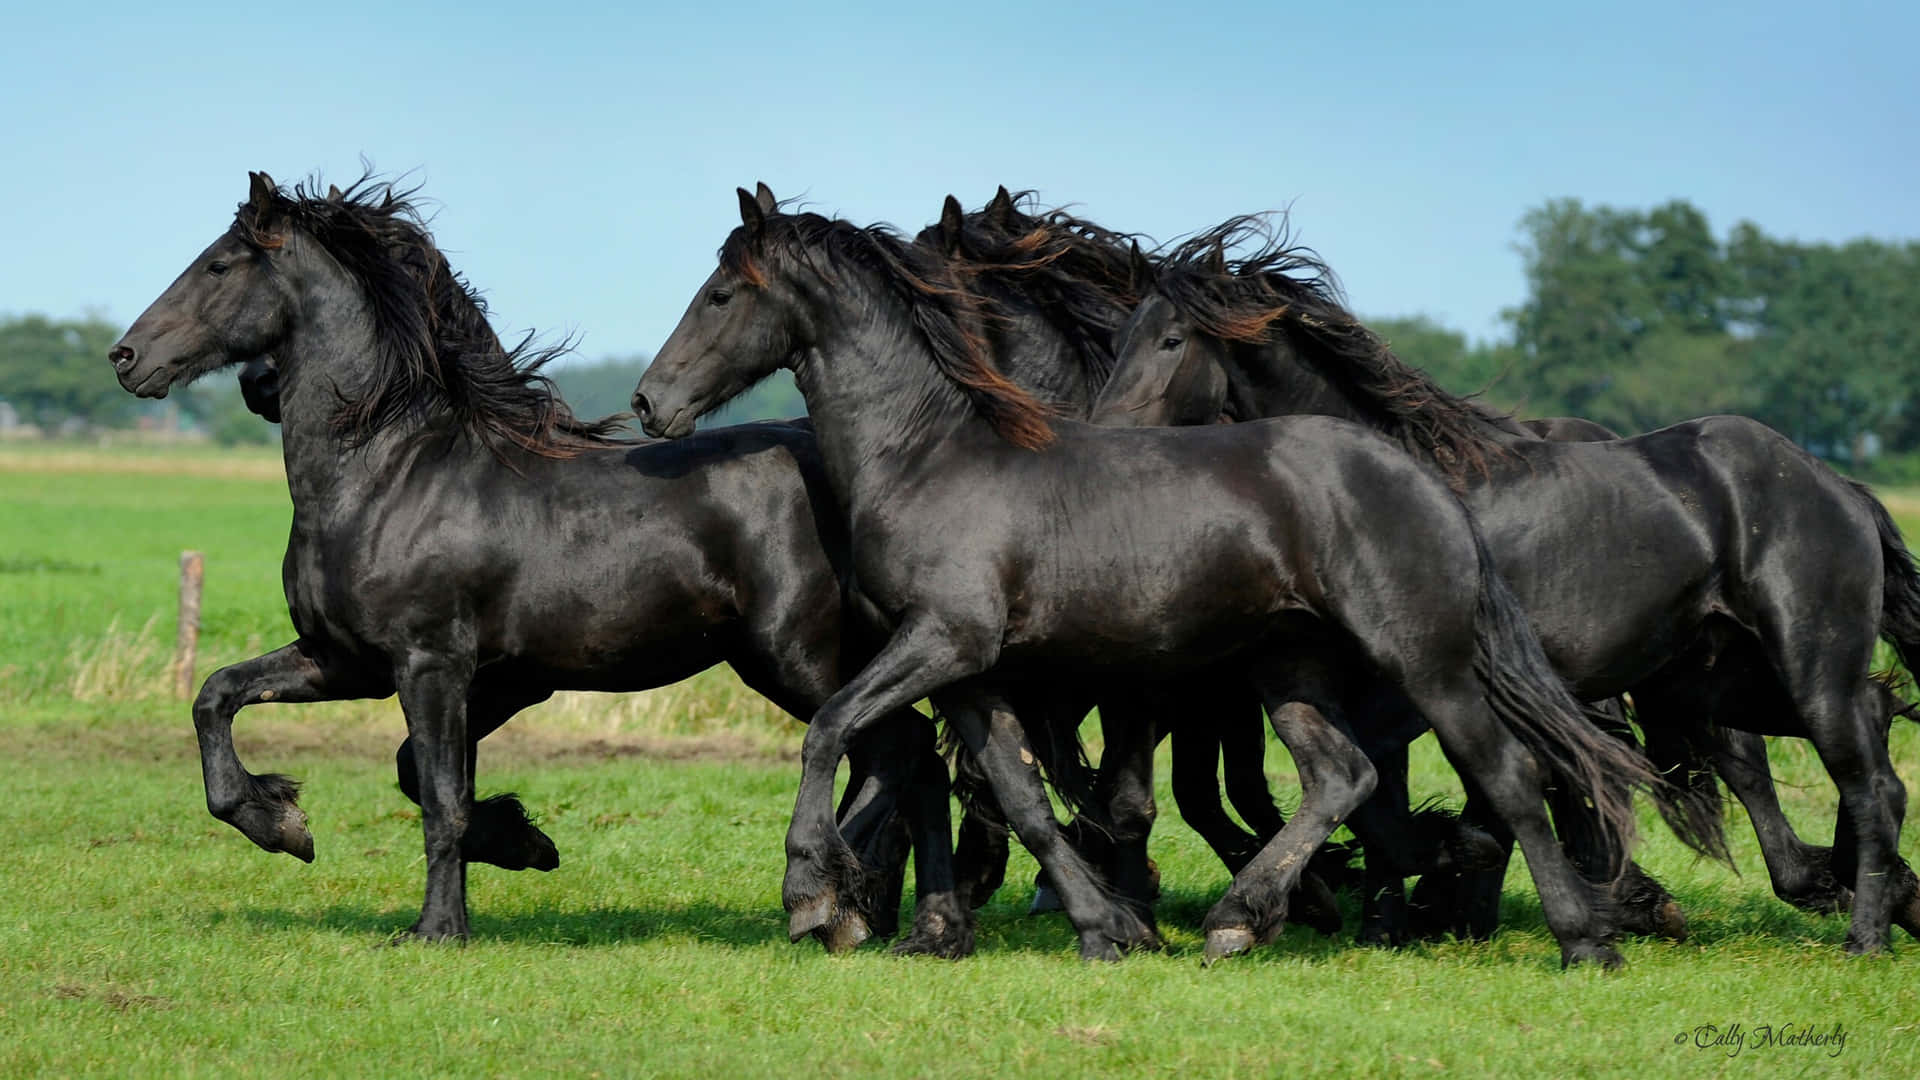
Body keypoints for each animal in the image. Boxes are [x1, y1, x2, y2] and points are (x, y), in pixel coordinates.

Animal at [106, 173, 963, 950]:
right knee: (915, 760)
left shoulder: (429, 664)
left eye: (218, 265)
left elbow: (439, 797)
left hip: (795, 658)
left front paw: (437, 928)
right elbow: (224, 698)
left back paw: (834, 904)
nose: (126, 356)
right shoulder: (352, 660)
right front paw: (287, 822)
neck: (392, 473)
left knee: (893, 747)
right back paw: (915, 927)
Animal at [633, 188, 1670, 967]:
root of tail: (1418, 474)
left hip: (1425, 661)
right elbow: (1022, 800)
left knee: (1509, 775)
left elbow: (829, 731)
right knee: (1343, 775)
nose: (649, 403)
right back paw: (1242, 920)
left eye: (721, 293)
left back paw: (1583, 939)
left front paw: (812, 895)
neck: (929, 458)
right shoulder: (971, 673)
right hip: (1290, 671)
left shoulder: (944, 641)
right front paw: (1105, 928)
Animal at [1089, 216, 1920, 952]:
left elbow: (1414, 786)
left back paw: (1865, 929)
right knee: (1864, 730)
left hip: (1805, 662)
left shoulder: (1420, 684)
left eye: (1170, 340)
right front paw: (1421, 899)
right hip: (1718, 678)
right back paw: (1872, 889)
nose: (1103, 439)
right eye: (1120, 340)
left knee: (1862, 773)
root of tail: (1840, 487)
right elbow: (1404, 791)